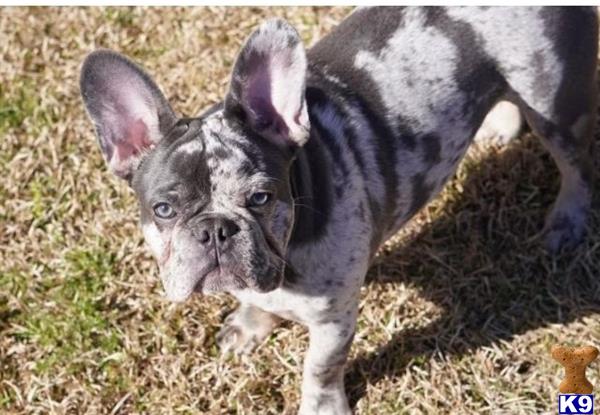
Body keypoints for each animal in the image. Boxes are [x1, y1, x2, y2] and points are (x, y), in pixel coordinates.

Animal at [79, 7, 596, 415]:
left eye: (261, 198)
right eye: (164, 209)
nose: (215, 230)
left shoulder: (334, 319)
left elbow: (320, 368)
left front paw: (321, 407)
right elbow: (256, 300)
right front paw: (249, 325)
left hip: (553, 102)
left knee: (575, 164)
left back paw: (566, 222)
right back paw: (499, 126)